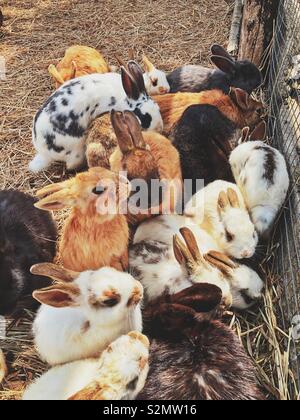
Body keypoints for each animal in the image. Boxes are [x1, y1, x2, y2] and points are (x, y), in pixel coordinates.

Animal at [29, 60, 163, 172]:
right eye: (145, 118)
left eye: (158, 108)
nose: (159, 129)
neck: (124, 98)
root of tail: (44, 152)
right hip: (76, 150)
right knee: (71, 165)